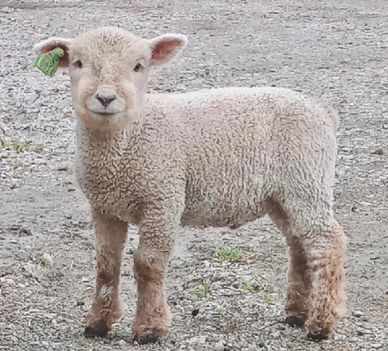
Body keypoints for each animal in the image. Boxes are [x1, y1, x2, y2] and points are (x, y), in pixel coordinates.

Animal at [33, 26, 346, 344]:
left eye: (138, 66)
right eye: (78, 63)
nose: (106, 98)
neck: (128, 140)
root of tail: (323, 110)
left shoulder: (163, 198)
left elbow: (148, 264)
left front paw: (149, 328)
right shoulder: (105, 207)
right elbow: (106, 265)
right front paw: (98, 323)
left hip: (307, 180)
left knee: (326, 242)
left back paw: (321, 323)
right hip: (281, 194)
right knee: (299, 243)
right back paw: (297, 312)